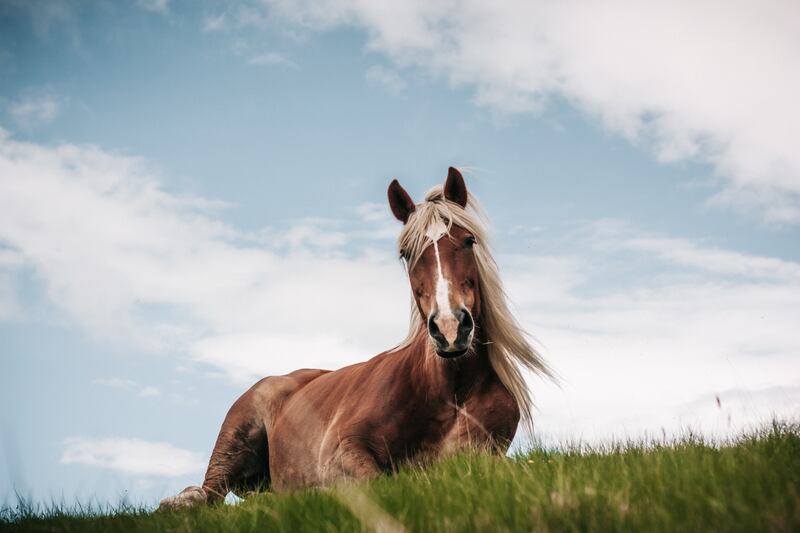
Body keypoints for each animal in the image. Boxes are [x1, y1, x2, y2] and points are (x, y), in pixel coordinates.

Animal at [159, 167, 551, 509]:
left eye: (468, 242)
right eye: (406, 254)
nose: (450, 328)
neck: (446, 389)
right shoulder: (342, 448)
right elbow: (370, 479)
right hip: (235, 439)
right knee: (209, 492)